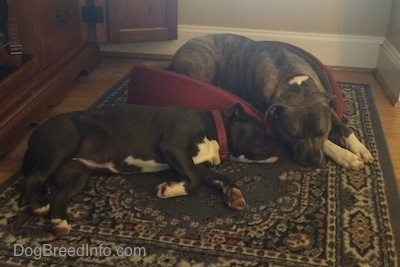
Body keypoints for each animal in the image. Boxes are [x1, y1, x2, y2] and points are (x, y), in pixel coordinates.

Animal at [21, 103, 278, 238]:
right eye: (263, 131)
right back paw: (38, 204)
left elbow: (219, 177)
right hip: (61, 146)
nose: (280, 147)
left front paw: (234, 195)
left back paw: (59, 222)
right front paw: (170, 188)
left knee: (60, 195)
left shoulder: (197, 165)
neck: (216, 131)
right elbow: (194, 183)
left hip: (76, 175)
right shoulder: (173, 147)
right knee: (33, 179)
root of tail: (33, 134)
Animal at [168, 33, 372, 170]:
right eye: (293, 135)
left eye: (322, 132)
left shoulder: (326, 104)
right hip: (204, 65)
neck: (293, 83)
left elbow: (343, 128)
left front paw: (358, 148)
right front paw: (345, 156)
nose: (312, 162)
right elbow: (328, 144)